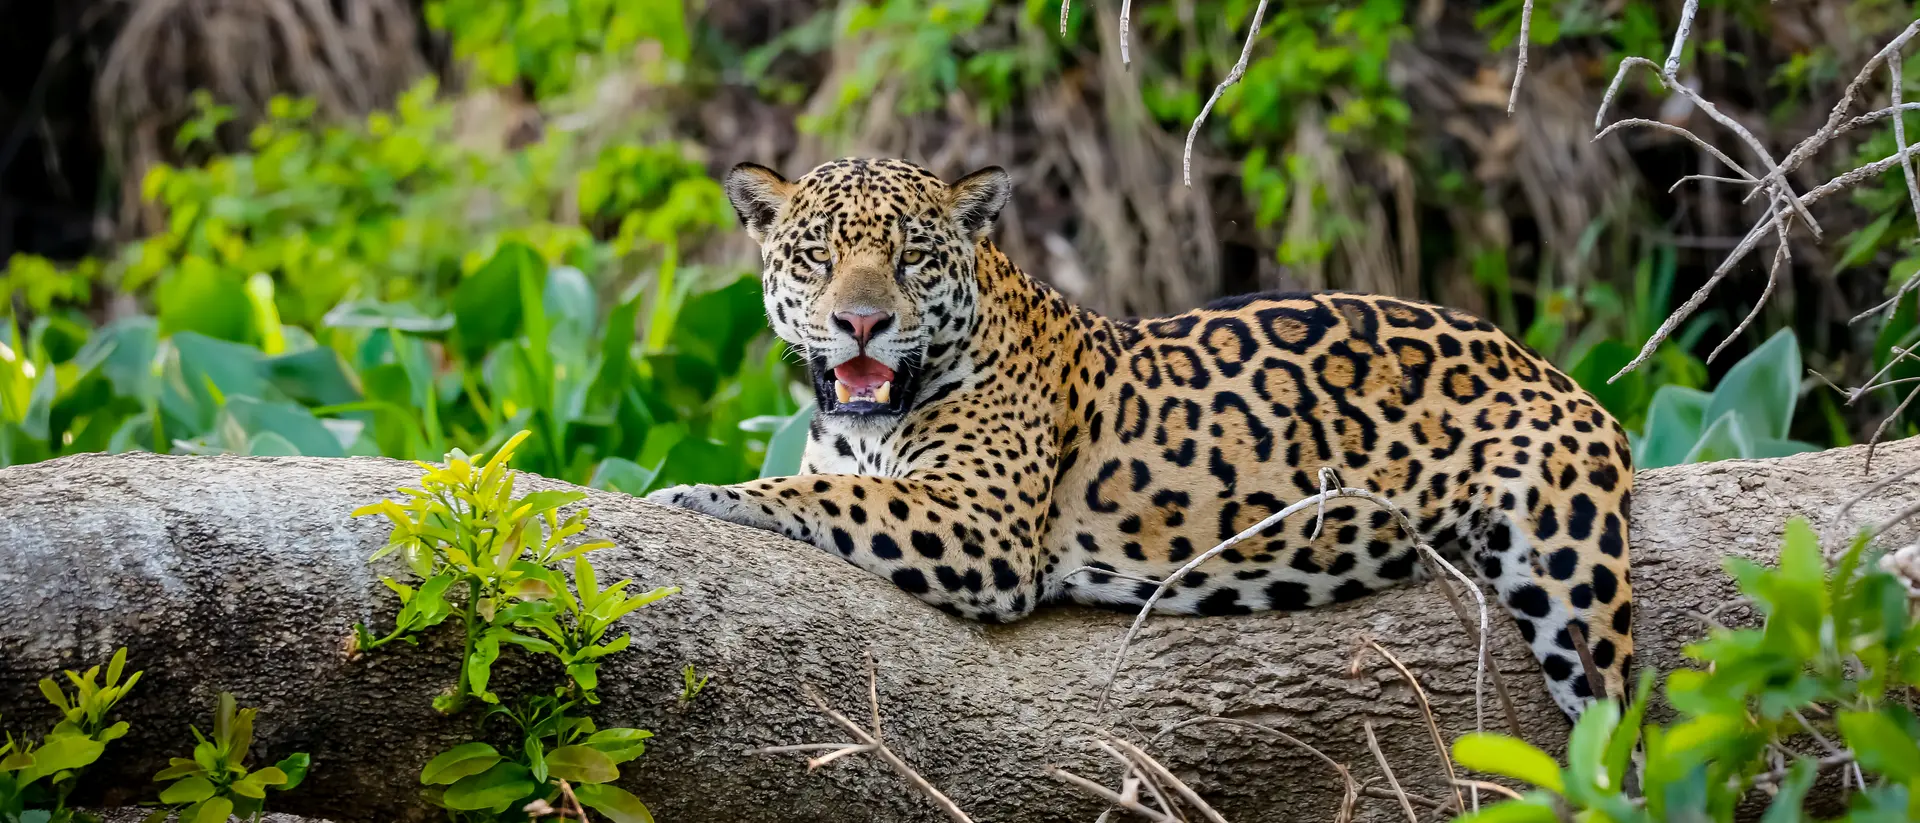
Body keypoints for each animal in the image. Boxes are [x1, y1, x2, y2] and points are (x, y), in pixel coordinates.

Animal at [646, 156, 1635, 721]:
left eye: (912, 258)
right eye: (816, 255)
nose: (861, 323)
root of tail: (1548, 364)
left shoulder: (983, 527)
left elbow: (824, 493)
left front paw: (694, 494)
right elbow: (826, 481)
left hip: (1571, 573)